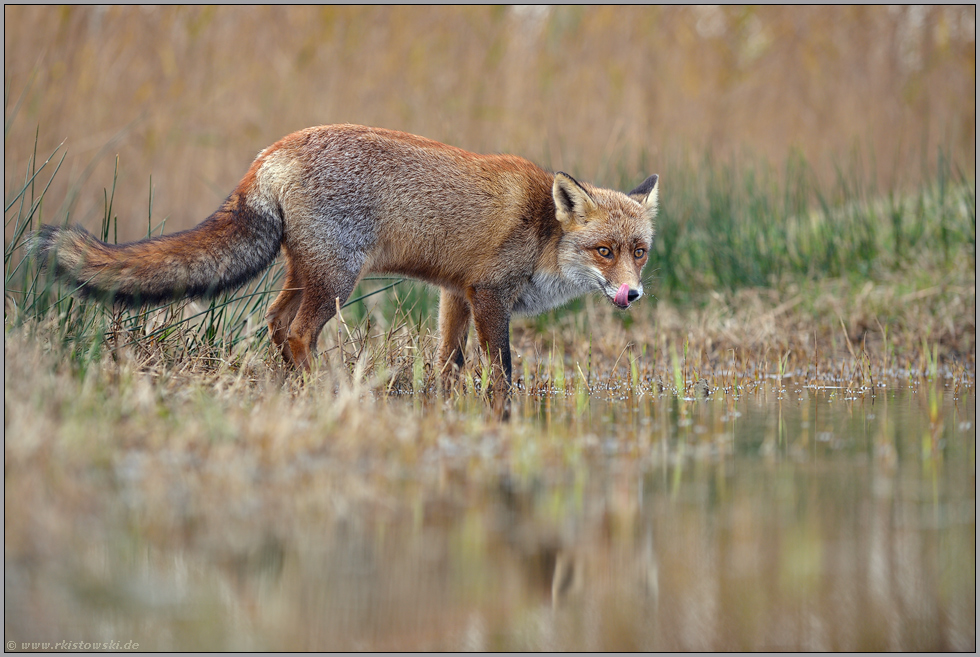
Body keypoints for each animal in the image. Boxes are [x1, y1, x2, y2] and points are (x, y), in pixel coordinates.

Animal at [36, 125, 660, 386]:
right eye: (603, 251)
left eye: (640, 252)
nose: (631, 294)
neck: (543, 234)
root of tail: (272, 152)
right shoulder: (488, 296)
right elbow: (503, 371)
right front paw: (504, 414)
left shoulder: (455, 294)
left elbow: (449, 362)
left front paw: (446, 402)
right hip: (337, 280)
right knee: (296, 333)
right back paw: (319, 390)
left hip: (305, 273)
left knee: (274, 322)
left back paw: (293, 384)